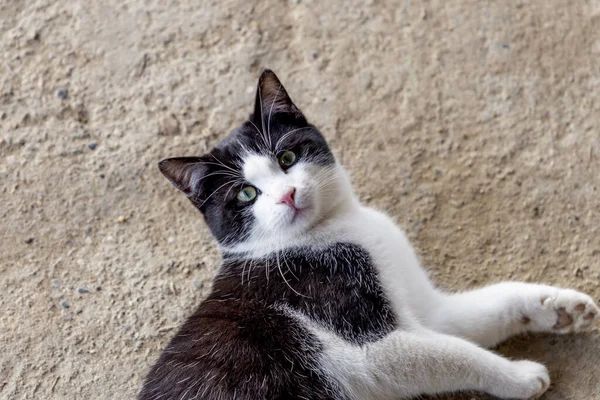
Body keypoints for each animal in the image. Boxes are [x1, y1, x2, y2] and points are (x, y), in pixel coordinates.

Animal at [138, 69, 596, 400]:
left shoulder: (425, 308)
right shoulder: (367, 345)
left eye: (287, 157)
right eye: (246, 194)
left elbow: (483, 309)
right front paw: (518, 376)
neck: (342, 226)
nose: (287, 194)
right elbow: (454, 354)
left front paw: (559, 308)